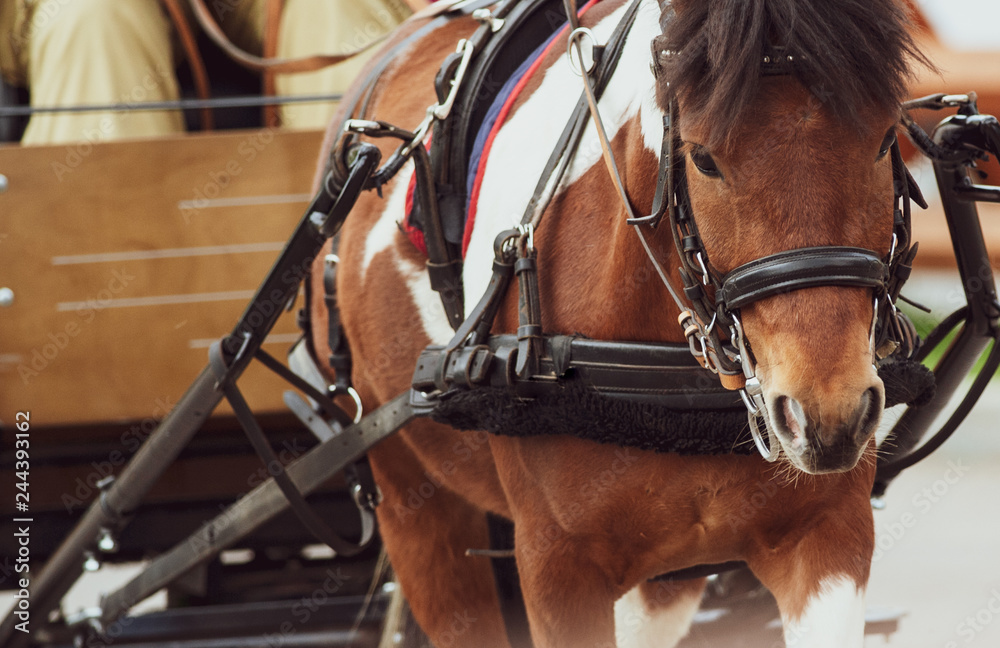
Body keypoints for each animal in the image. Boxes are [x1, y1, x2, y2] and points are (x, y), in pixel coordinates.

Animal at [306, 0, 926, 645]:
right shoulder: (557, 563)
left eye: (886, 137)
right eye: (703, 158)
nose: (828, 416)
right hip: (411, 498)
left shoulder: (826, 535)